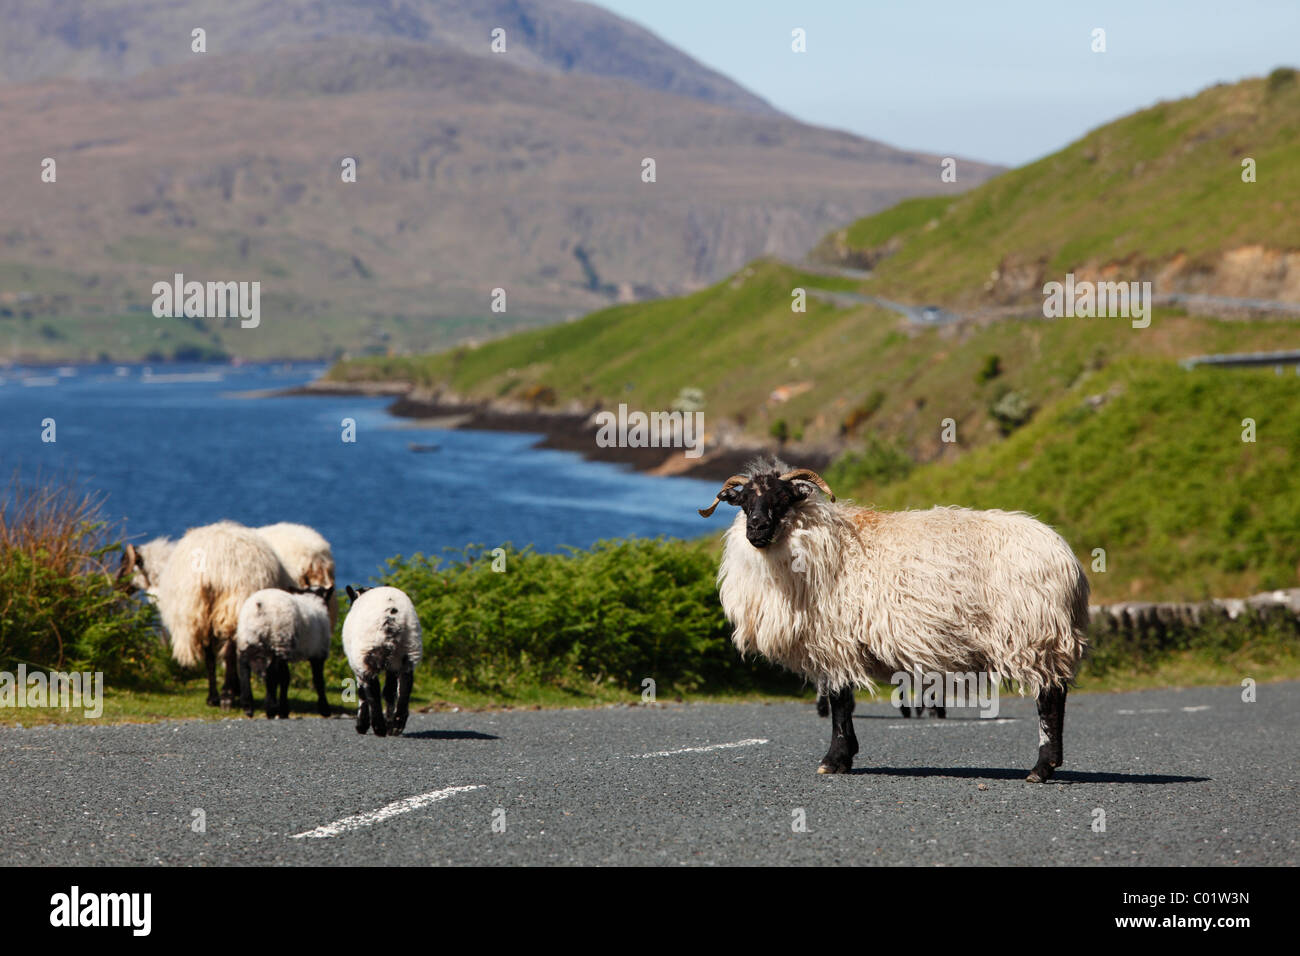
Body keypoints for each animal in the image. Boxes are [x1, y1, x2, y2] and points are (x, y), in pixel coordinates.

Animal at [124, 522, 297, 712]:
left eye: (125, 564)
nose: (118, 586)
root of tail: (215, 568)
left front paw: (229, 692)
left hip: (219, 605)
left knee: (223, 651)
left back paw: (224, 696)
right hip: (218, 608)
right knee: (222, 652)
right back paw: (223, 695)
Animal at [340, 582, 421, 738]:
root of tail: (391, 615)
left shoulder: (356, 664)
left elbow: (362, 694)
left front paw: (362, 725)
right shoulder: (392, 667)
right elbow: (389, 691)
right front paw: (390, 723)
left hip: (366, 652)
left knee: (372, 690)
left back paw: (379, 728)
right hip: (407, 651)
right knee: (404, 686)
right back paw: (396, 726)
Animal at [696, 460, 1092, 780]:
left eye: (781, 499)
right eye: (744, 501)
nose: (756, 529)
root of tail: (1067, 558)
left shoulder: (835, 642)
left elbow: (840, 702)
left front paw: (834, 760)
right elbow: (842, 702)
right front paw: (844, 757)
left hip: (1033, 632)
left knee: (1050, 698)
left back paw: (1041, 768)